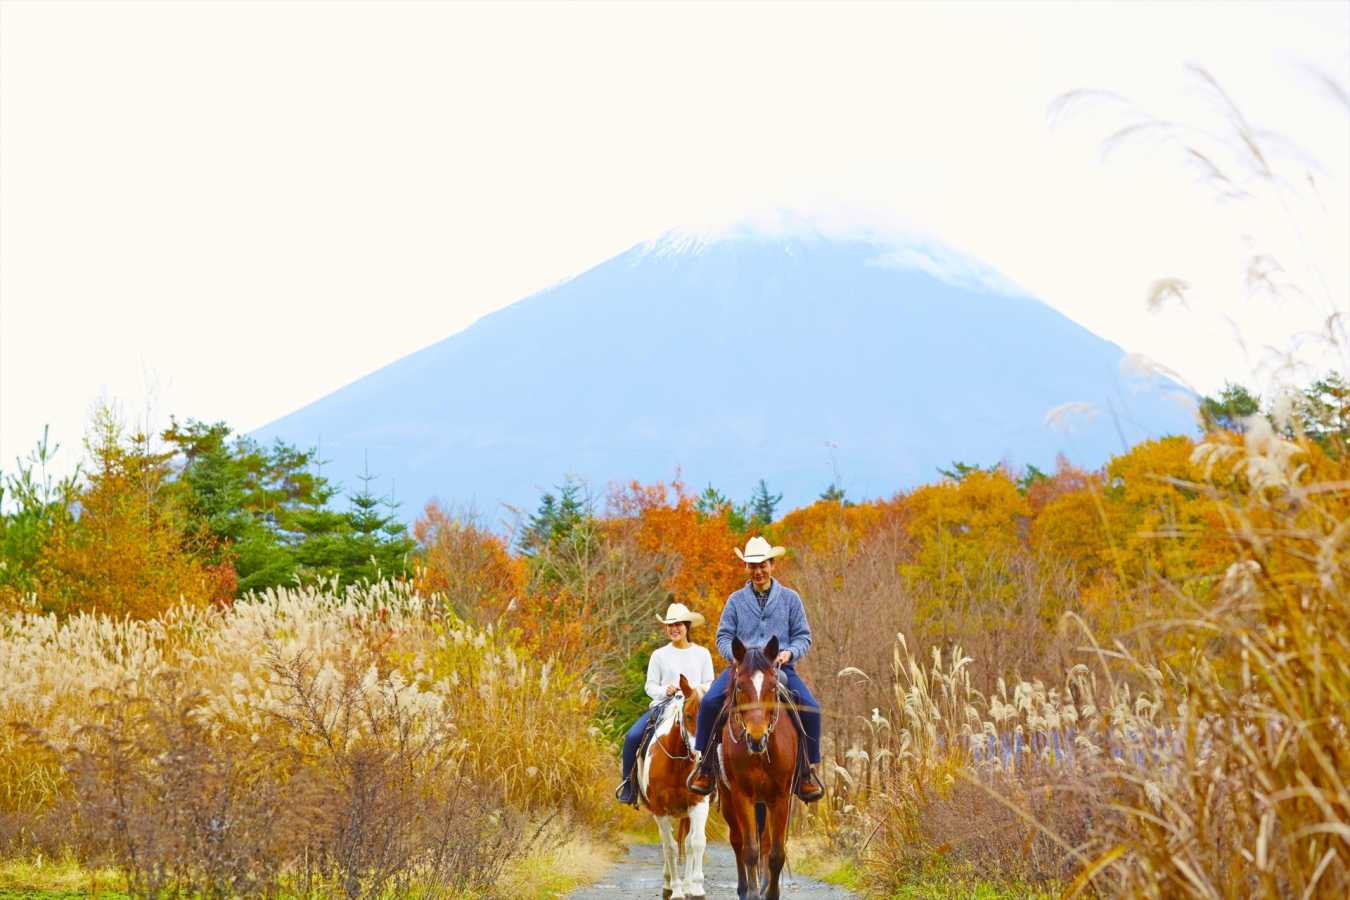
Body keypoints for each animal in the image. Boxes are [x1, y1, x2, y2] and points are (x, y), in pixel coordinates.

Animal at [637, 673, 710, 900]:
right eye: (688, 716)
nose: (700, 757)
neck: (678, 764)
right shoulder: (660, 810)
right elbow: (669, 848)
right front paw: (676, 890)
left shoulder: (698, 804)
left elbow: (697, 842)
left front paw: (696, 888)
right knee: (667, 842)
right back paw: (670, 884)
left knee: (688, 843)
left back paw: (688, 885)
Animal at [717, 636, 797, 900]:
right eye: (740, 687)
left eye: (772, 686)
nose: (756, 738)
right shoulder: (742, 797)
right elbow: (749, 850)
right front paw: (752, 893)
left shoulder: (781, 798)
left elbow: (776, 853)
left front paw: (771, 893)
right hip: (728, 799)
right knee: (737, 841)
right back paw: (744, 888)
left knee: (765, 842)